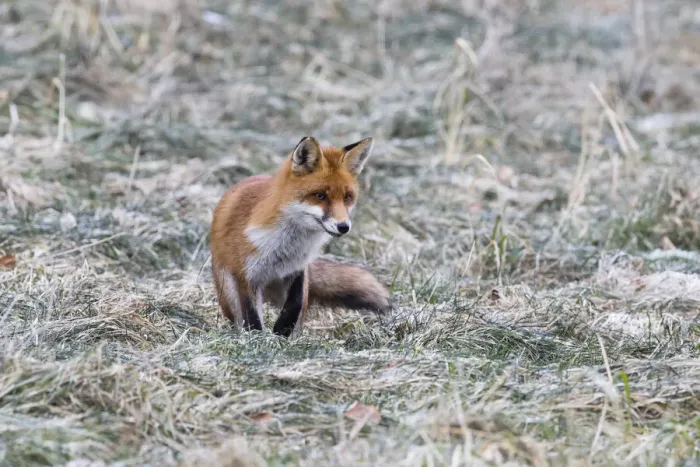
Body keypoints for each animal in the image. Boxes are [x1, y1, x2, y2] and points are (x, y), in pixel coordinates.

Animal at [209, 135, 391, 337]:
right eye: (320, 195)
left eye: (347, 197)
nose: (343, 226)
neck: (285, 247)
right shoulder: (245, 275)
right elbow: (252, 316)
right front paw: (258, 338)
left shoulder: (297, 269)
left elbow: (294, 305)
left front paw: (282, 333)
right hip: (227, 291)